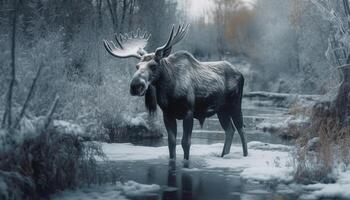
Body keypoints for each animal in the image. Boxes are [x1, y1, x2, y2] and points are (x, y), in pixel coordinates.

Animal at [102, 24, 247, 160]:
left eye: (153, 65)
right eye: (137, 66)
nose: (136, 86)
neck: (170, 91)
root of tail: (241, 74)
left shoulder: (188, 112)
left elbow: (185, 143)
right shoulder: (168, 114)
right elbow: (171, 143)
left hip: (235, 105)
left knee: (241, 129)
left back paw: (244, 156)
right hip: (221, 110)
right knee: (230, 130)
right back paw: (224, 155)